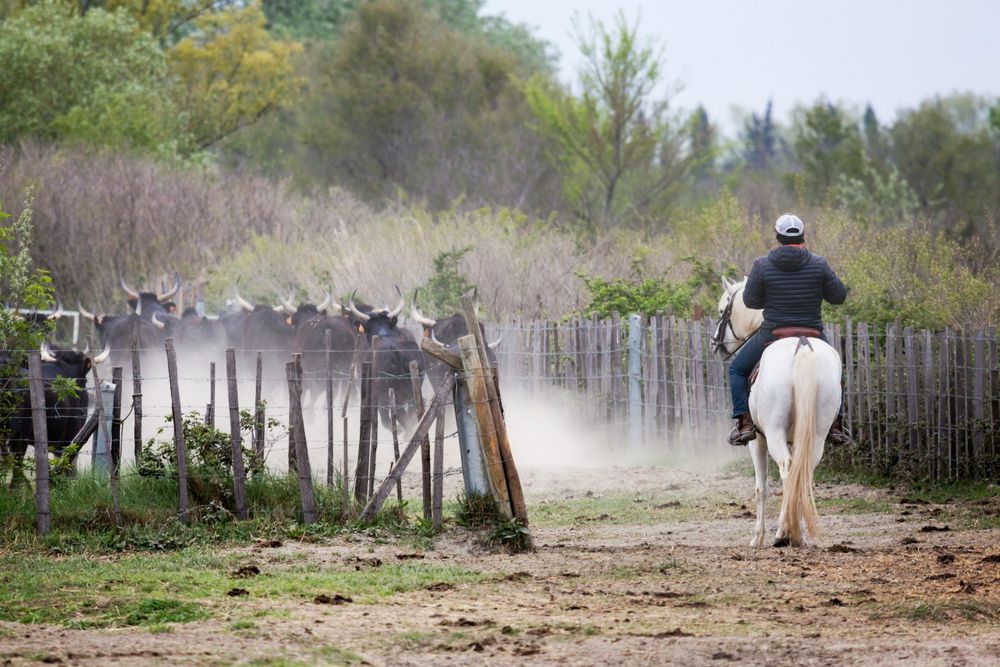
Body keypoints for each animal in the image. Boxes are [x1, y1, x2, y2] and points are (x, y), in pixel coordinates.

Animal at [712, 276, 844, 548]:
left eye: (722, 311)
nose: (715, 344)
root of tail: (802, 345)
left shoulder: (758, 441)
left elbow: (761, 488)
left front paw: (758, 537)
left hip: (772, 434)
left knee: (787, 471)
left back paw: (784, 533)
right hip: (816, 434)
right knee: (803, 472)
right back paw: (798, 534)